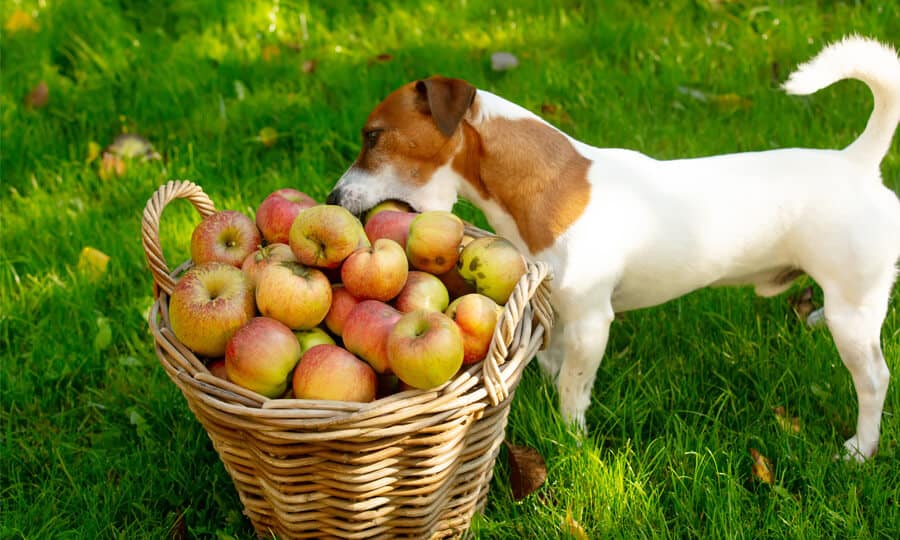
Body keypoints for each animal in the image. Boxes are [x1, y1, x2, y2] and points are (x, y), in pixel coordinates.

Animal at [326, 37, 900, 460]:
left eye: (373, 136)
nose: (332, 198)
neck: (547, 185)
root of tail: (855, 161)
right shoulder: (554, 306)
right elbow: (552, 361)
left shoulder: (590, 321)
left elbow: (572, 387)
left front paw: (570, 439)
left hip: (855, 315)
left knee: (875, 380)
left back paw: (860, 449)